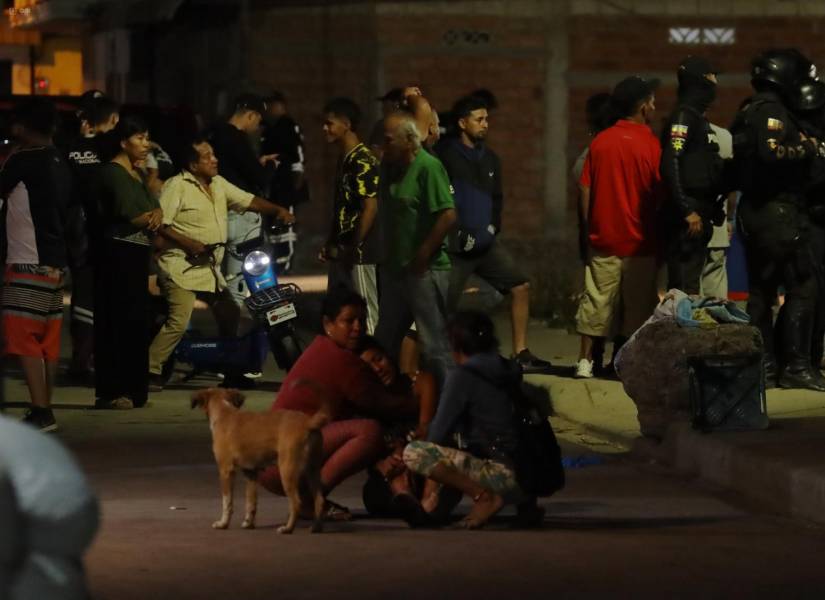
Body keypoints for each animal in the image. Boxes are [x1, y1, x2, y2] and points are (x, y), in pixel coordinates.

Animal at [191, 390, 328, 536]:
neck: (224, 411)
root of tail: (307, 422)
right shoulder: (251, 473)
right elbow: (251, 502)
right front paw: (248, 523)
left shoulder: (226, 471)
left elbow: (227, 501)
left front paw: (223, 523)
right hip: (313, 471)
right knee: (319, 500)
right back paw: (316, 527)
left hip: (287, 471)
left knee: (296, 502)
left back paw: (288, 528)